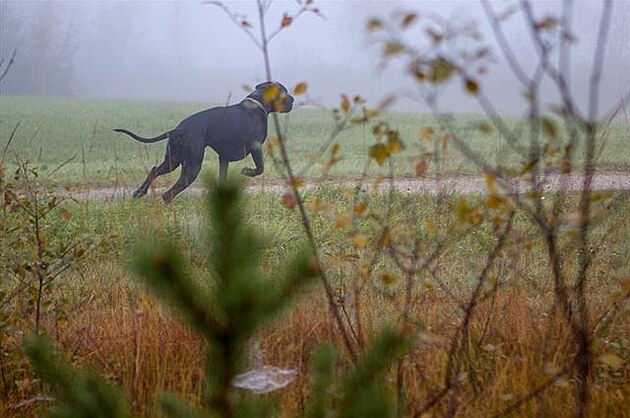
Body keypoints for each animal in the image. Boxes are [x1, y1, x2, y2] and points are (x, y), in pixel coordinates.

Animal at [115, 81, 296, 202]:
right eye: (284, 92)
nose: (293, 99)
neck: (259, 103)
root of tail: (179, 129)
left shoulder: (223, 159)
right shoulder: (255, 147)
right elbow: (260, 168)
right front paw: (246, 172)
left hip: (173, 161)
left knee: (154, 171)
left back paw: (138, 193)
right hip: (192, 166)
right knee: (169, 193)